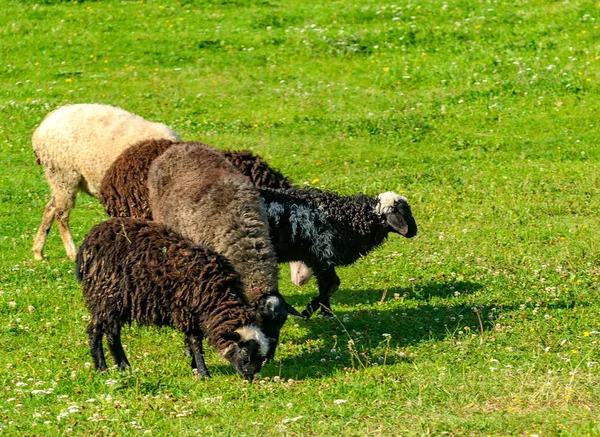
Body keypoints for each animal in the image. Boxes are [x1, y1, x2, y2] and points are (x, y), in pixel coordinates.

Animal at [31, 102, 180, 258]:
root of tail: (43, 125)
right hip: (64, 175)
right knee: (61, 214)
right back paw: (71, 252)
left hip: (57, 178)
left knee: (50, 208)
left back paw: (38, 252)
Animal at [75, 217, 268, 378]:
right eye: (245, 353)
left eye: (261, 357)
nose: (252, 377)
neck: (216, 297)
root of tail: (88, 241)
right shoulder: (189, 312)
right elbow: (195, 343)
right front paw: (203, 373)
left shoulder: (192, 314)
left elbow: (190, 341)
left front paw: (195, 368)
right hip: (105, 295)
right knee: (95, 331)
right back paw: (102, 368)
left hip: (118, 302)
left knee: (112, 333)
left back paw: (124, 366)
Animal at [260, 186, 420, 316]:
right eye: (404, 212)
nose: (414, 232)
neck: (347, 217)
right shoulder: (321, 257)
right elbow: (332, 284)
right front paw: (309, 311)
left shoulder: (321, 261)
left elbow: (325, 286)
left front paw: (326, 313)